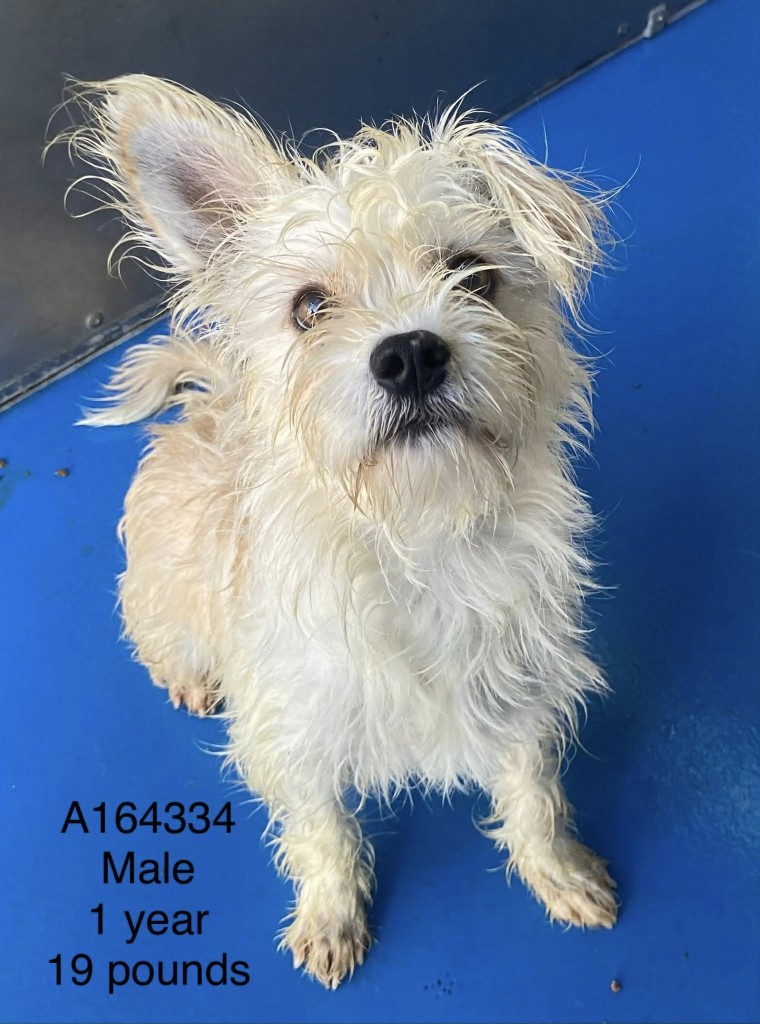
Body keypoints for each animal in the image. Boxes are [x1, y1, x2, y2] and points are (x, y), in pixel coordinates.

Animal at [60, 75, 618, 988]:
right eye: (309, 308)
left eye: (474, 276)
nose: (411, 354)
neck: (416, 540)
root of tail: (210, 401)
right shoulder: (293, 740)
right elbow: (323, 835)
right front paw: (330, 916)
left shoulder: (523, 700)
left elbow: (534, 797)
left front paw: (559, 870)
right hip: (160, 608)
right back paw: (190, 676)